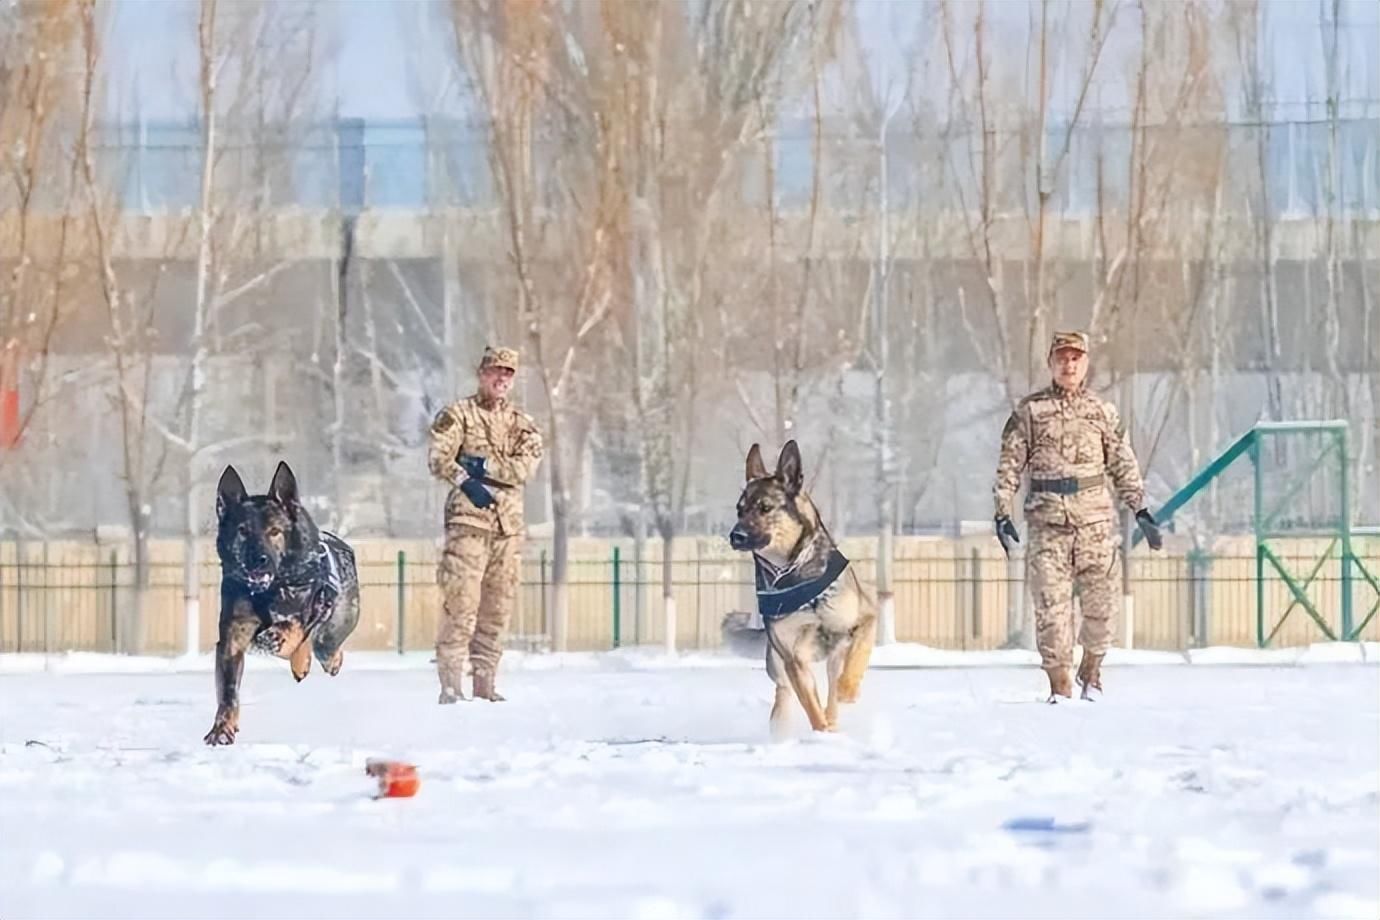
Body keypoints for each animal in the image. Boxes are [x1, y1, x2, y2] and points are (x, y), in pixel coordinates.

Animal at [201, 463, 361, 744]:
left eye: (274, 531)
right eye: (242, 530)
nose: (259, 560)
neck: (267, 591)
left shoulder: (313, 606)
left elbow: (293, 625)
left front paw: (277, 637)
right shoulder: (233, 637)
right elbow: (229, 692)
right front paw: (222, 729)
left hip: (333, 629)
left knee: (323, 646)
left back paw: (318, 659)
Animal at [723, 441, 872, 739]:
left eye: (765, 507)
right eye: (739, 510)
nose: (735, 536)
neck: (795, 574)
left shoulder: (865, 618)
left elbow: (858, 655)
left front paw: (849, 689)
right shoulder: (793, 657)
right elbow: (810, 705)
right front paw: (821, 734)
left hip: (833, 655)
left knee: (833, 686)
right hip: (778, 665)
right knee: (785, 695)